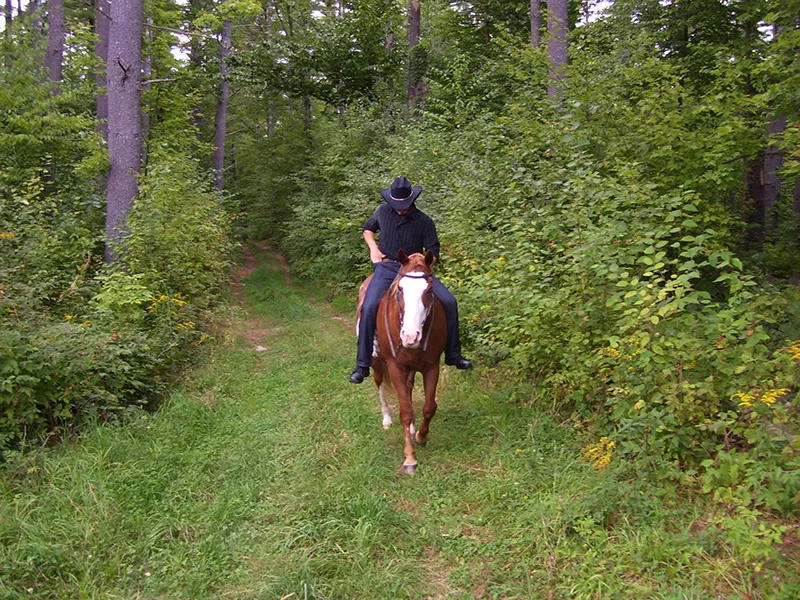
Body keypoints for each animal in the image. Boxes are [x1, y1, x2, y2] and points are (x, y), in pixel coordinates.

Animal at [358, 248, 450, 474]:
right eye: (400, 289)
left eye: (429, 290)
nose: (410, 336)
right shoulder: (395, 367)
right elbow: (405, 412)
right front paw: (409, 458)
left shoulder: (431, 366)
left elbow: (429, 407)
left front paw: (421, 436)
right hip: (376, 361)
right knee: (380, 384)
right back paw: (386, 419)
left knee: (407, 390)